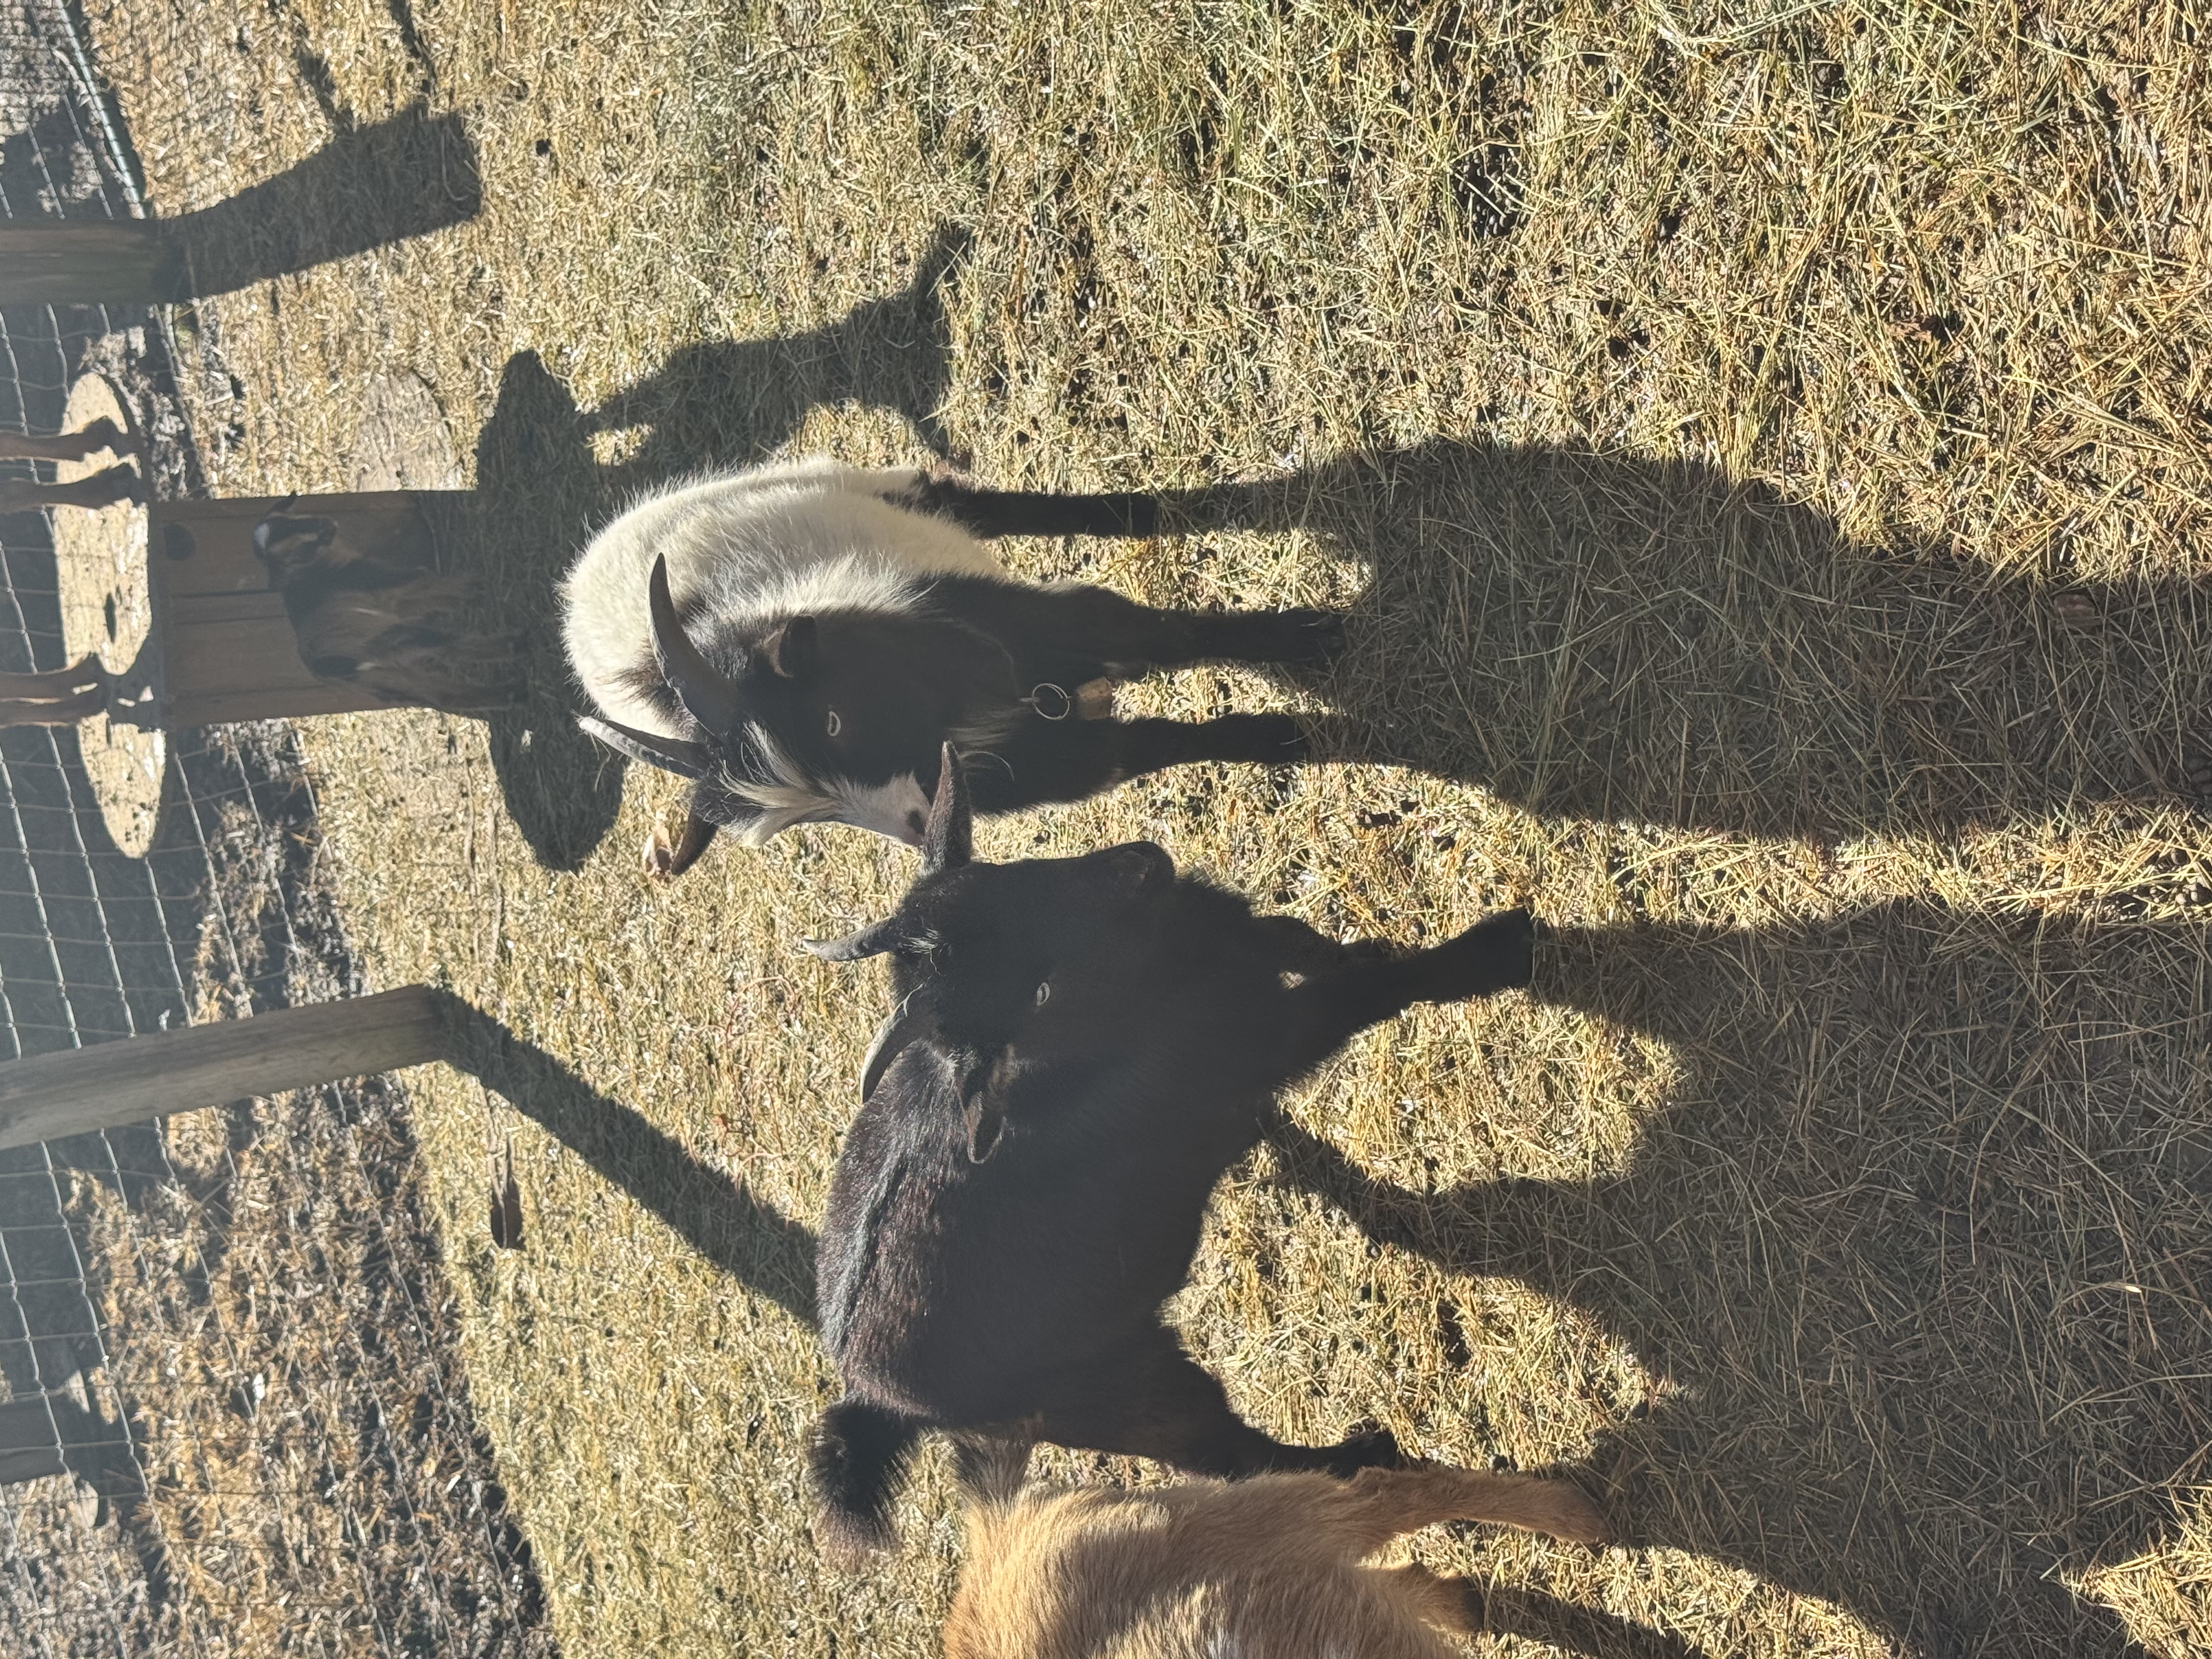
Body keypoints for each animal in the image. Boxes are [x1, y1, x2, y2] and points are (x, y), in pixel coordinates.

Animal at [252, 512, 524, 714]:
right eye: (299, 550)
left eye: (290, 520)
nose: (326, 524)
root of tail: (331, 667)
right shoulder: (392, 586)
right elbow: (435, 582)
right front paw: (477, 585)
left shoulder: (397, 604)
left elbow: (440, 599)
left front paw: (471, 596)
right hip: (393, 641)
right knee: (446, 645)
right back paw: (515, 647)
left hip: (385, 679)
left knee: (444, 692)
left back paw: (511, 693)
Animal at [561, 457, 1343, 877]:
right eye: (806, 820)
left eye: (832, 722)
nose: (914, 828)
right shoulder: (1052, 762)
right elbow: (1154, 747)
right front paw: (1283, 739)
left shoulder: (1031, 621)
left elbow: (1165, 636)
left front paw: (1310, 638)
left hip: (868, 489)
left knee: (970, 504)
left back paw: (1141, 514)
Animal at [805, 746, 1536, 1556]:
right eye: (1037, 993)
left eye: (1007, 876)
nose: (1140, 866)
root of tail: (869, 1399)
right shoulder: (1262, 1035)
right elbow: (1368, 991)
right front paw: (1496, 950)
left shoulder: (1238, 937)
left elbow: (1313, 945)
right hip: (1130, 1393)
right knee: (1233, 1456)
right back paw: (1362, 1458)